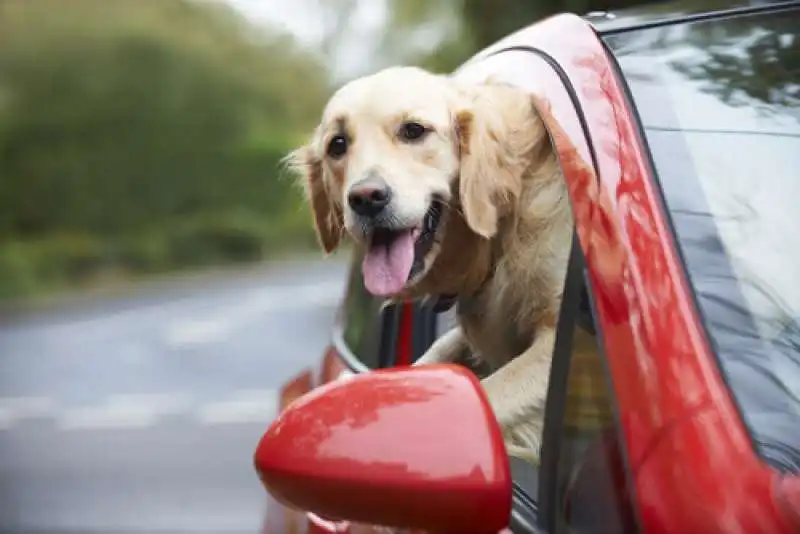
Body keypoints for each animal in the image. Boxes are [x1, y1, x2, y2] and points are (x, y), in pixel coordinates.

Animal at [288, 66, 576, 460]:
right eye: (337, 145)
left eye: (413, 130)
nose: (366, 198)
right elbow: (435, 358)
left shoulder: (559, 343)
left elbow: (486, 395)